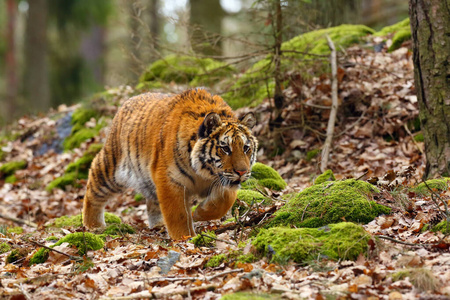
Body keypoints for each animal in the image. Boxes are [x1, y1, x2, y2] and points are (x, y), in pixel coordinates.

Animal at [81, 88, 256, 240]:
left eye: (246, 148)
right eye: (225, 148)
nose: (242, 172)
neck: (204, 172)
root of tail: (128, 101)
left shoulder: (224, 181)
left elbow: (226, 199)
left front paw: (200, 213)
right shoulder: (169, 180)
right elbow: (178, 214)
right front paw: (184, 238)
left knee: (152, 204)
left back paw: (158, 225)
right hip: (112, 169)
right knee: (93, 184)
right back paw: (93, 226)